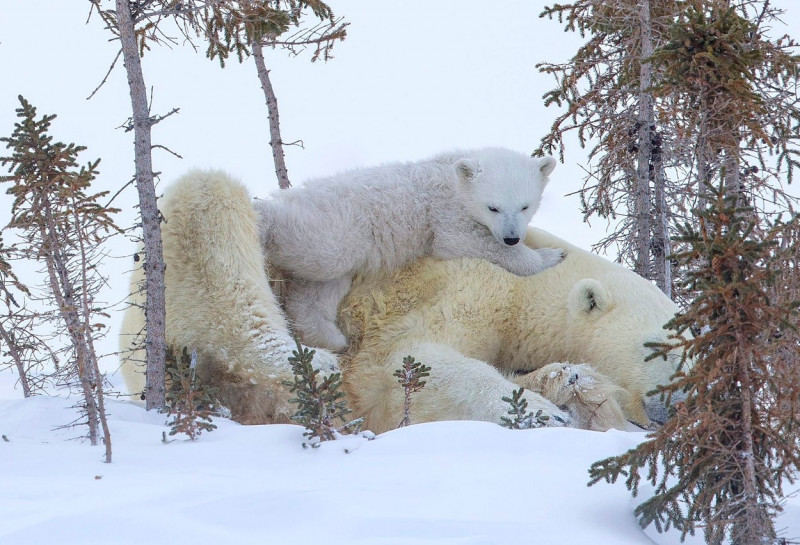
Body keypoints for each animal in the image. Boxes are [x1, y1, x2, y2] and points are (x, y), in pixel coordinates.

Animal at [119, 165, 688, 430]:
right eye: (658, 349)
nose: (675, 407)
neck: (525, 293)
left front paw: (579, 391)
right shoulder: (457, 287)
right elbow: (411, 370)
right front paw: (542, 413)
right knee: (213, 207)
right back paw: (308, 363)